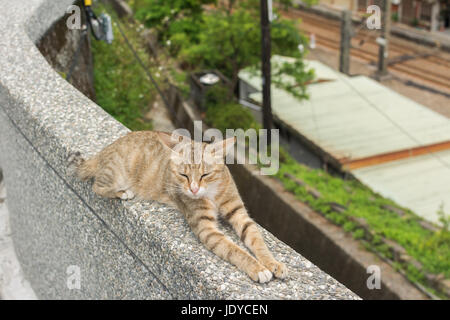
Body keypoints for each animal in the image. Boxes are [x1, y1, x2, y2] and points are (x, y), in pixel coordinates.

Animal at [69, 131, 288, 282]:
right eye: (183, 175)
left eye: (205, 174)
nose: (193, 189)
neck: (212, 193)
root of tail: (103, 151)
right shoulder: (206, 228)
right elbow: (234, 250)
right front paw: (258, 268)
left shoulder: (239, 214)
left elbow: (257, 240)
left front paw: (272, 262)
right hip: (114, 174)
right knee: (97, 186)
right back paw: (122, 192)